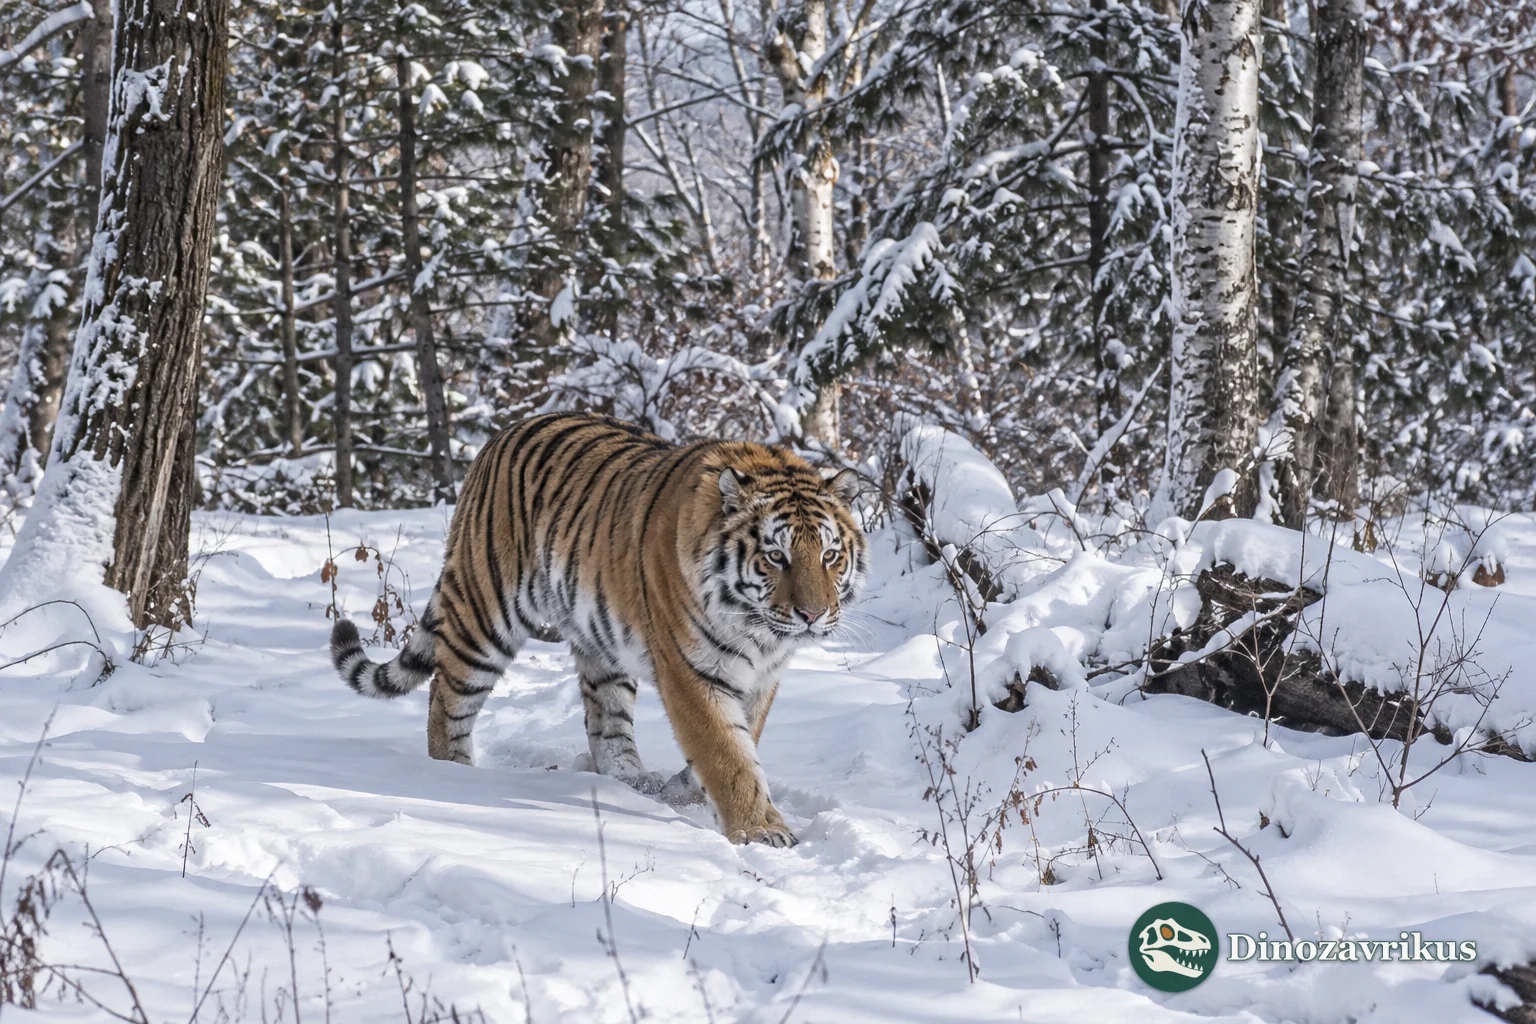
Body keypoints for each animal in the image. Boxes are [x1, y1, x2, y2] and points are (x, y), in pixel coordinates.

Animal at [329, 412, 868, 846]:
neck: (758, 631)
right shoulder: (692, 672)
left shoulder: (760, 677)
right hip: (486, 614)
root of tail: (498, 437)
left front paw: (682, 791)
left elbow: (743, 738)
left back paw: (631, 781)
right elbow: (726, 753)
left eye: (829, 555)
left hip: (601, 643)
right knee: (446, 698)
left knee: (605, 720)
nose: (813, 614)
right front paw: (760, 831)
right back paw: (454, 779)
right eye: (776, 556)